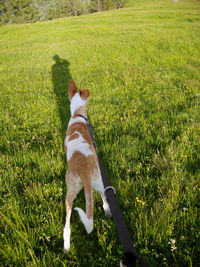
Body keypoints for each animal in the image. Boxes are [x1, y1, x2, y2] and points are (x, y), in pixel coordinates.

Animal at [63, 80, 111, 252]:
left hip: (70, 192)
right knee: (105, 198)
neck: (78, 116)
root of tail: (83, 170)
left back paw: (66, 245)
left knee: (67, 225)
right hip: (98, 181)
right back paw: (108, 212)